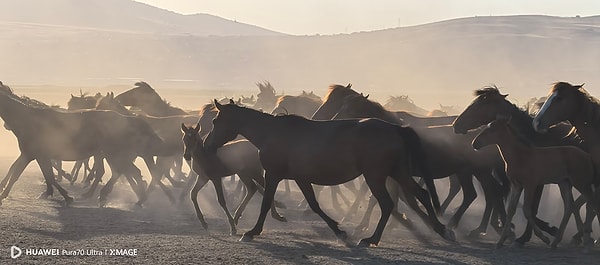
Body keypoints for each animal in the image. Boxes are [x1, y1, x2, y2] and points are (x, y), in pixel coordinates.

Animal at [204, 99, 452, 245]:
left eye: (215, 121)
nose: (207, 144)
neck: (271, 133)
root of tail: (395, 128)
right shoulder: (301, 178)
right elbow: (314, 204)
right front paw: (338, 230)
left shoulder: (273, 175)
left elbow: (266, 203)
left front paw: (252, 232)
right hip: (397, 172)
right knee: (421, 194)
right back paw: (441, 229)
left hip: (375, 176)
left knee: (388, 204)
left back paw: (371, 238)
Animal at [472, 115, 596, 248]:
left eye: (493, 129)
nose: (475, 143)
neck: (520, 156)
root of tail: (587, 156)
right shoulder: (517, 186)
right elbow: (511, 209)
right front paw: (501, 241)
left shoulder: (530, 185)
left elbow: (527, 210)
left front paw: (543, 238)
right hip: (565, 183)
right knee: (570, 208)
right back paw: (557, 241)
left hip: (581, 183)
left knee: (591, 203)